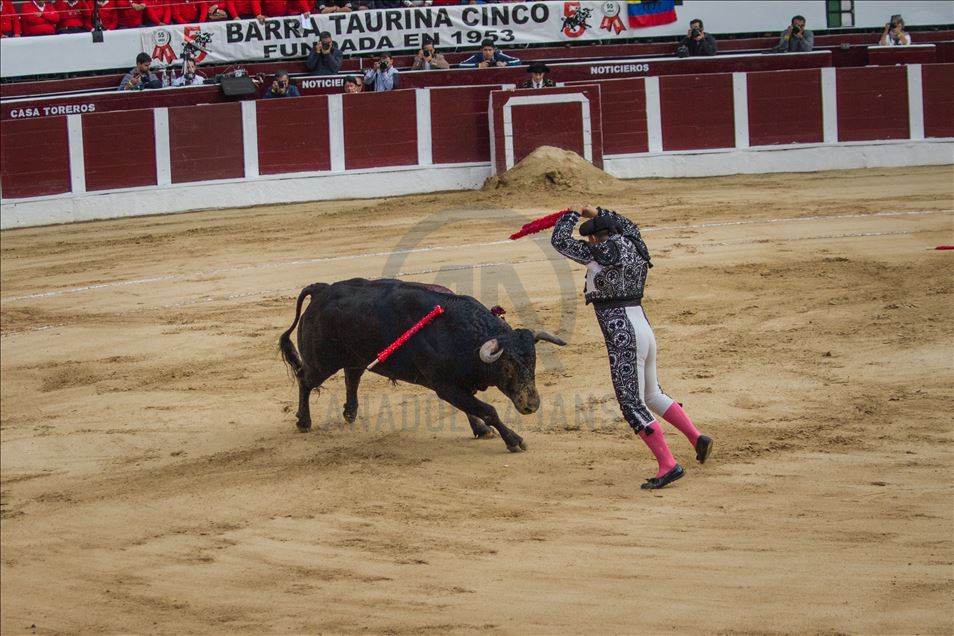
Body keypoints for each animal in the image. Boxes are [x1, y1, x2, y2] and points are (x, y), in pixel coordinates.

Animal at [278, 278, 564, 452]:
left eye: (534, 362)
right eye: (506, 367)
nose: (531, 405)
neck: (460, 333)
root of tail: (321, 290)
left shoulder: (459, 385)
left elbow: (472, 408)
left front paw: (481, 431)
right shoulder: (445, 387)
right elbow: (487, 409)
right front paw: (514, 440)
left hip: (353, 356)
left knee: (352, 375)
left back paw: (350, 413)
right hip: (321, 363)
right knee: (305, 379)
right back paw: (304, 421)